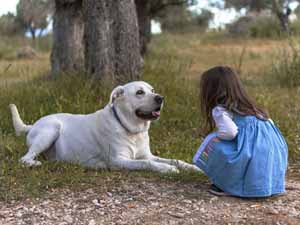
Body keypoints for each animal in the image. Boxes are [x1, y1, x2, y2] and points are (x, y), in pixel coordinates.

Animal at [9, 81, 200, 173]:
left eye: (152, 90)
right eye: (139, 92)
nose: (160, 98)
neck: (131, 130)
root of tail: (32, 125)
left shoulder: (148, 154)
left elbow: (174, 160)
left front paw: (192, 167)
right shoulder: (119, 160)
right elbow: (147, 163)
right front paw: (167, 169)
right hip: (51, 129)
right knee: (24, 159)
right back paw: (34, 163)